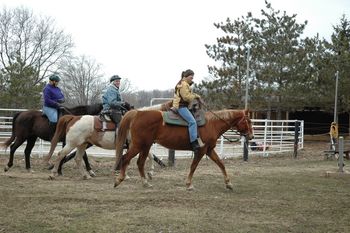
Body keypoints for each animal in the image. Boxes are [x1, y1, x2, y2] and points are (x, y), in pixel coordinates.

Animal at [115, 108, 254, 190]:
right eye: (248, 121)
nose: (251, 136)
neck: (212, 124)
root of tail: (137, 113)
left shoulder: (209, 150)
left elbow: (221, 164)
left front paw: (228, 183)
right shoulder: (201, 150)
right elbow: (193, 166)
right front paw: (189, 184)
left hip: (145, 146)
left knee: (139, 163)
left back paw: (145, 182)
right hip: (140, 145)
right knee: (126, 158)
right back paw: (120, 180)